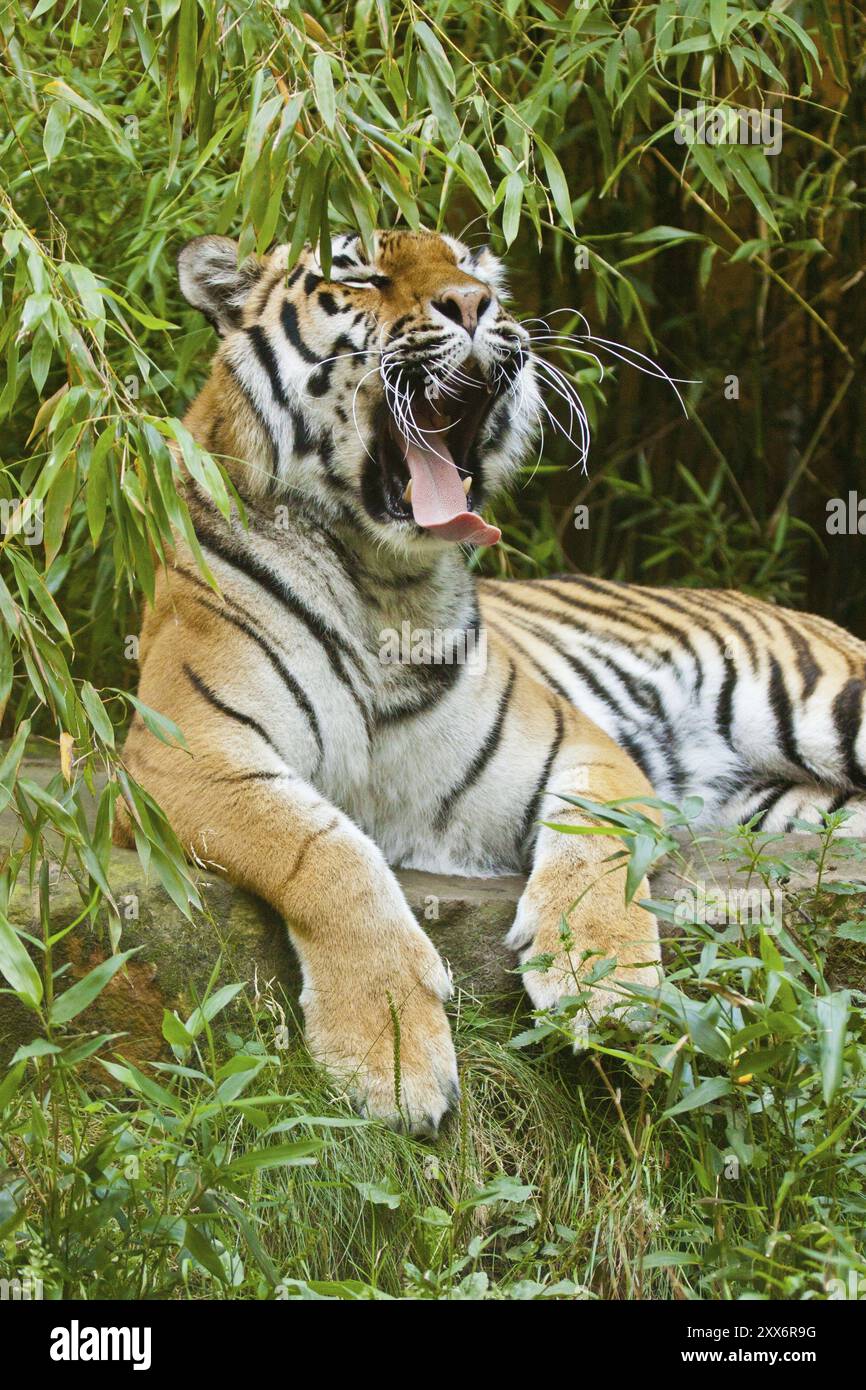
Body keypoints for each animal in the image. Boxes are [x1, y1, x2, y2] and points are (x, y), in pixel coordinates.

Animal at [118, 227, 866, 1134]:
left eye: (472, 269)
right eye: (360, 273)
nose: (474, 306)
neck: (386, 583)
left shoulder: (582, 748)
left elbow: (596, 848)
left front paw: (604, 988)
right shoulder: (184, 750)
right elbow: (325, 851)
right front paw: (390, 1056)